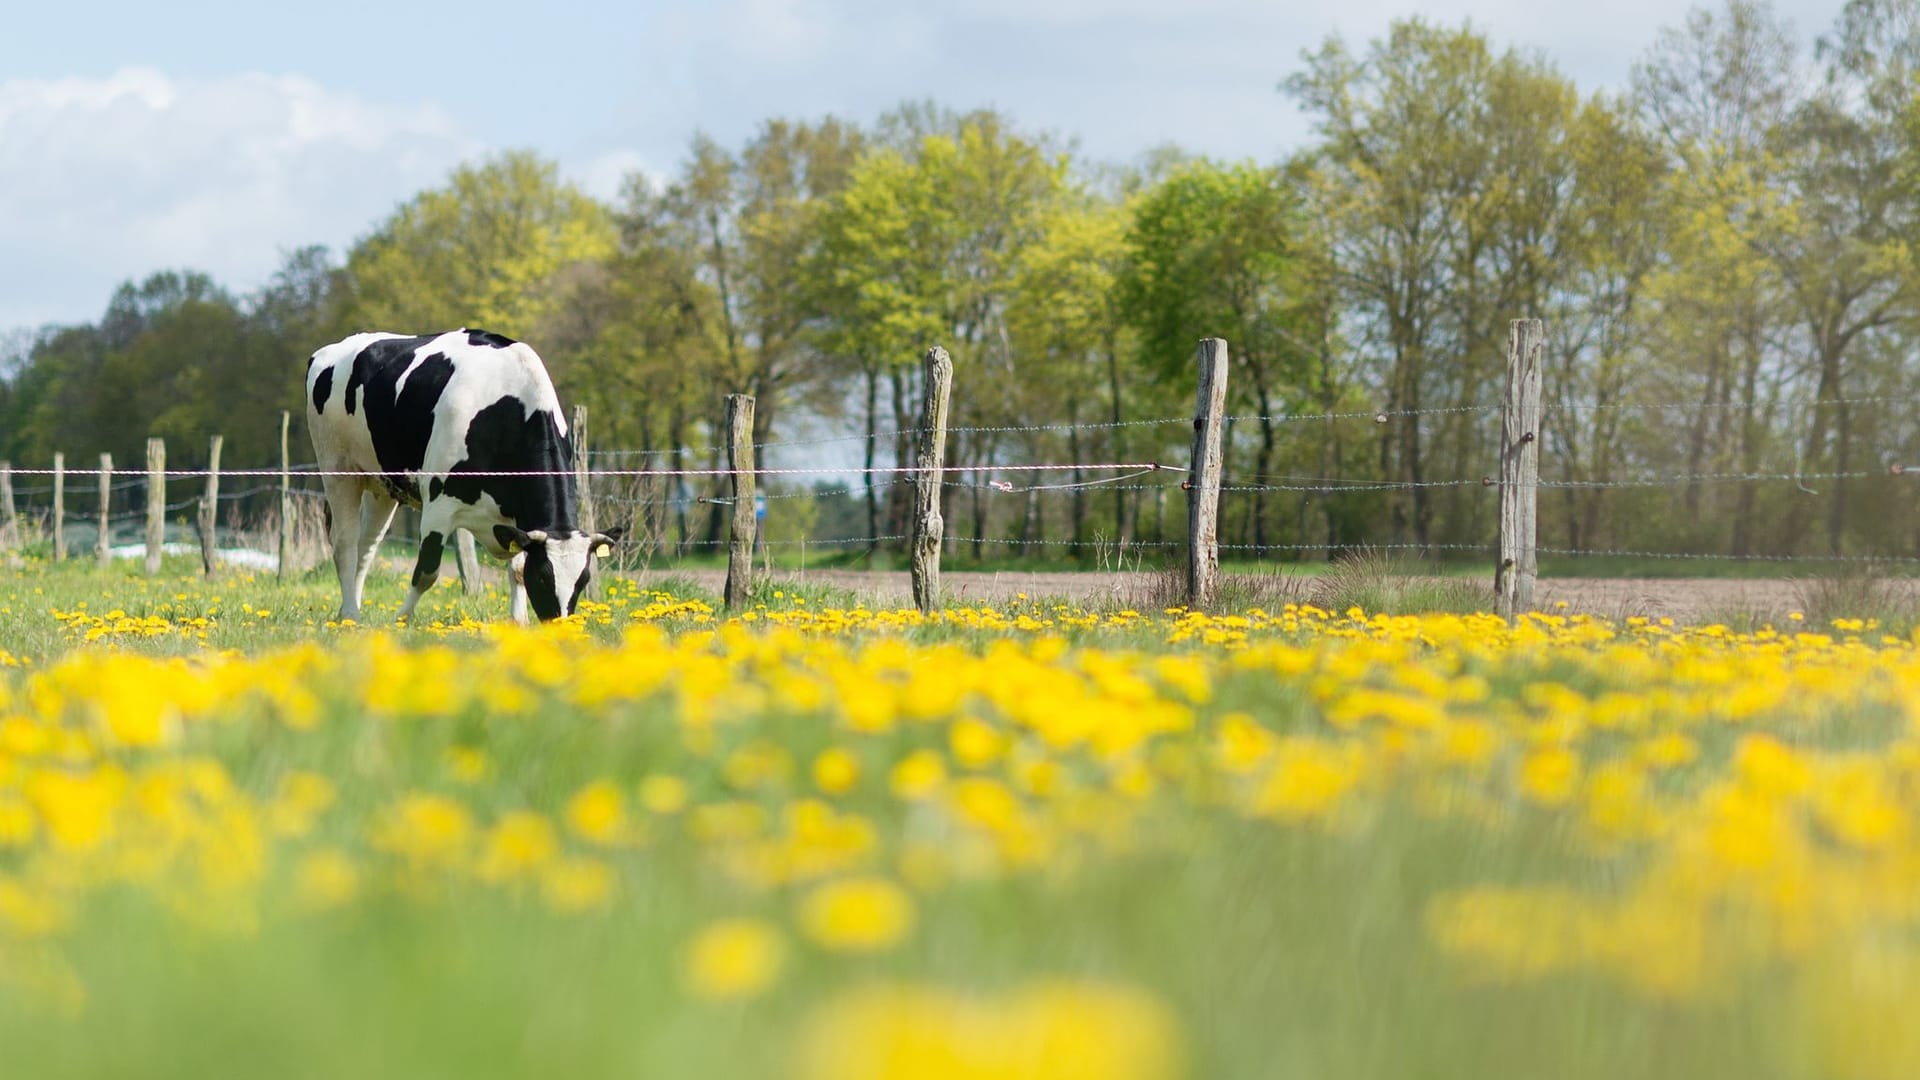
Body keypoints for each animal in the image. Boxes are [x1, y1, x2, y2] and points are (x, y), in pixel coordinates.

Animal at [305, 332, 622, 626]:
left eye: (583, 581)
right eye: (544, 577)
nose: (560, 628)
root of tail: (330, 349)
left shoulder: (517, 519)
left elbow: (518, 571)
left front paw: (519, 623)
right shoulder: (439, 505)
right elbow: (427, 571)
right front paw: (403, 619)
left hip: (382, 485)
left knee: (366, 547)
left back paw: (351, 613)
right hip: (338, 470)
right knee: (345, 544)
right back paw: (350, 613)